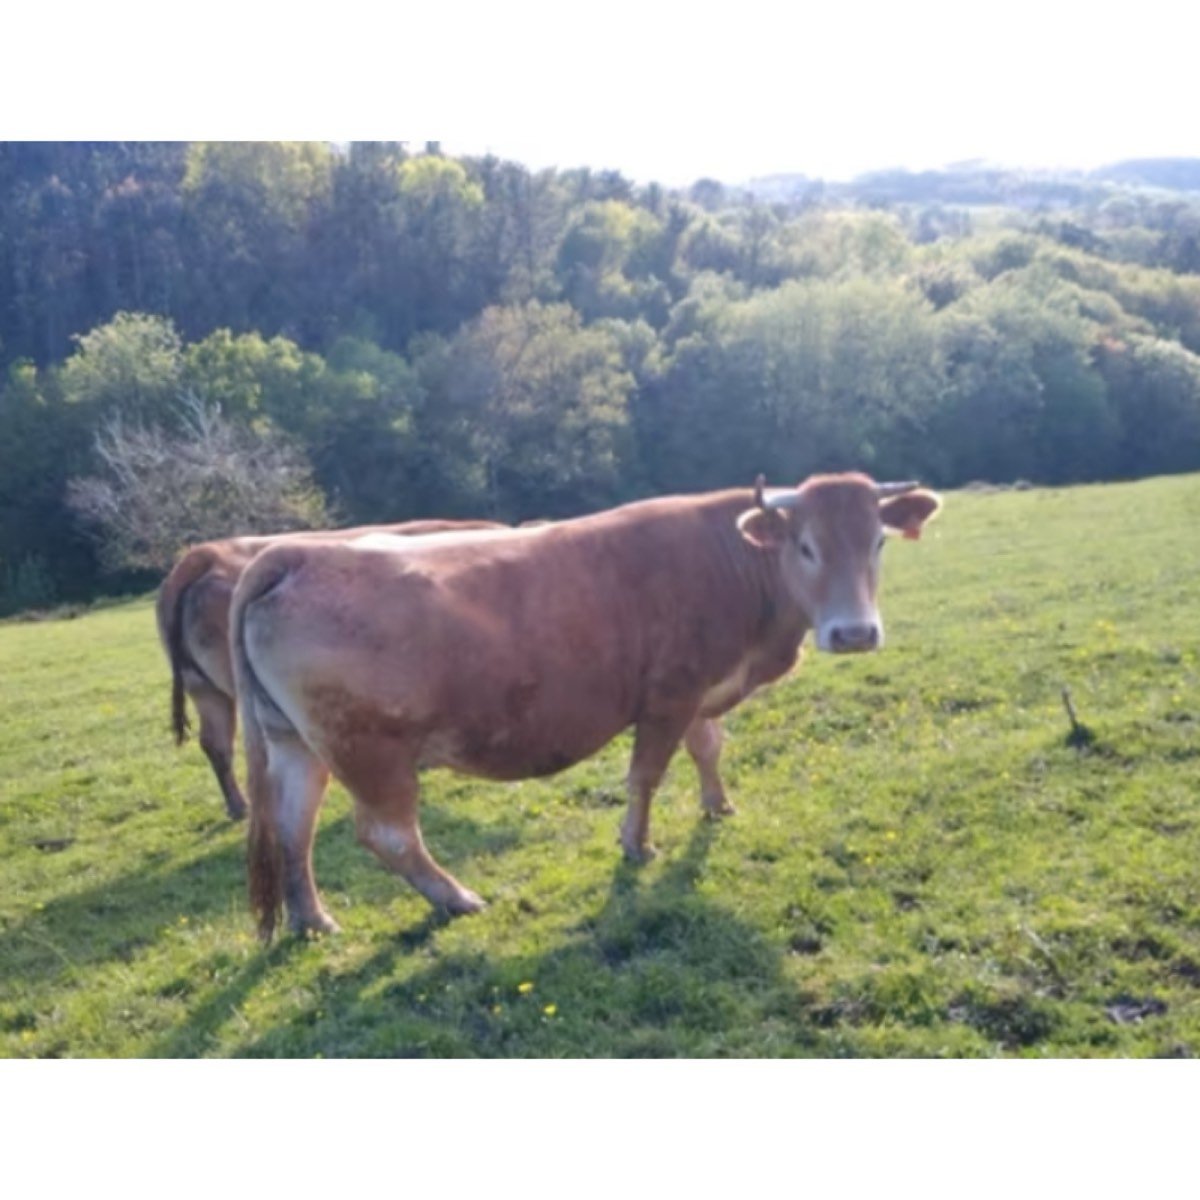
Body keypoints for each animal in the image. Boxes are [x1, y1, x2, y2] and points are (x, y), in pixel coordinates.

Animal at [231, 473, 942, 941]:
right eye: (806, 547)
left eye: (878, 542)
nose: (855, 633)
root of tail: (295, 551)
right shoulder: (669, 694)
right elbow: (647, 775)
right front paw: (638, 845)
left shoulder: (703, 690)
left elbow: (709, 748)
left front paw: (718, 806)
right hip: (370, 752)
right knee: (389, 835)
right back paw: (456, 898)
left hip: (294, 743)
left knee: (293, 829)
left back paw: (313, 919)